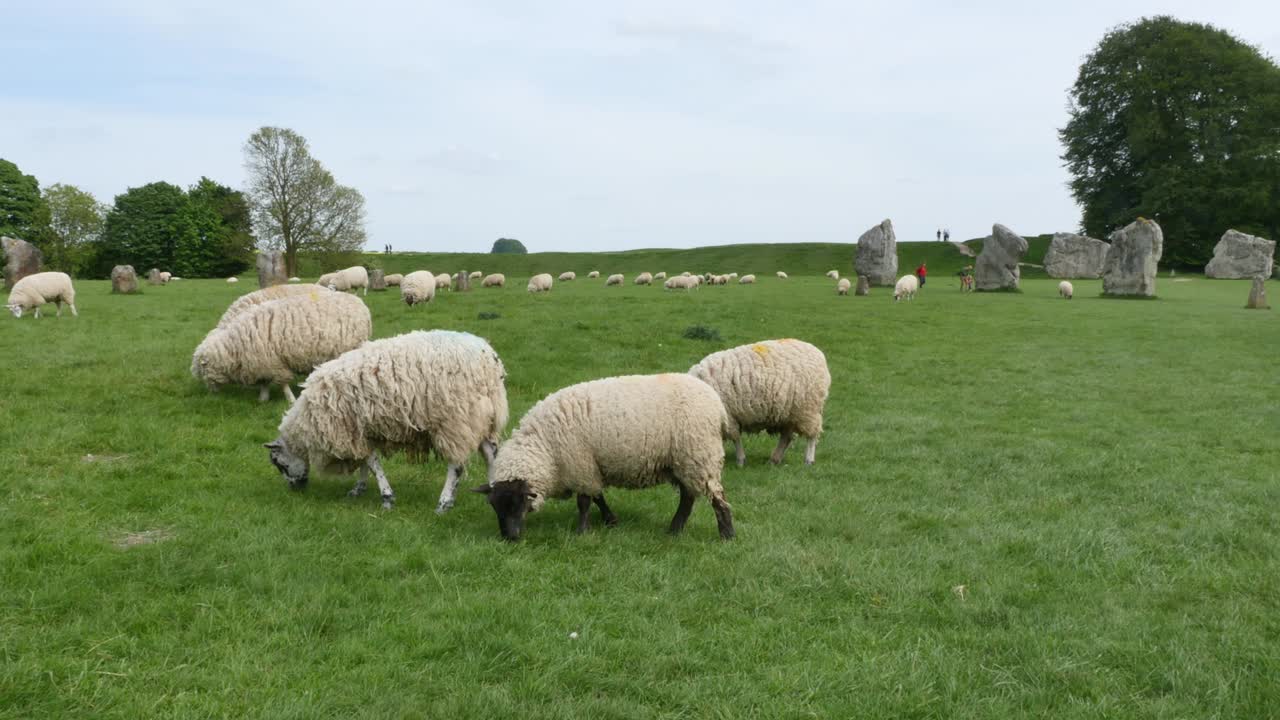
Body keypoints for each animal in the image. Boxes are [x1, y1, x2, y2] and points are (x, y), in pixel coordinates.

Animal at [192, 290, 370, 403]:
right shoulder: (262, 363)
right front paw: (263, 399)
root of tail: (358, 301)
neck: (234, 346)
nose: (211, 394)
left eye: (203, 371)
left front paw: (290, 400)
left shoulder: (275, 363)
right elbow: (264, 383)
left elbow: (283, 383)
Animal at [266, 330, 508, 513]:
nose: (296, 489)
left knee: (456, 465)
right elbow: (365, 462)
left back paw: (444, 502)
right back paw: (493, 490)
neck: (308, 420)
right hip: (481, 417)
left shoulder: (350, 431)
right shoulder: (361, 432)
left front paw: (386, 497)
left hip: (456, 420)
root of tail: (490, 360)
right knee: (491, 454)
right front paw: (359, 488)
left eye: (279, 464)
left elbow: (372, 463)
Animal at [476, 373, 734, 541]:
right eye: (494, 506)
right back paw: (675, 530)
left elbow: (584, 502)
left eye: (516, 503)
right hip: (683, 461)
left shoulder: (580, 465)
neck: (545, 447)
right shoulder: (590, 466)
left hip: (699, 454)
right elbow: (598, 496)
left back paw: (726, 534)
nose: (509, 538)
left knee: (716, 497)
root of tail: (718, 405)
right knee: (688, 497)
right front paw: (611, 520)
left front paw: (582, 532)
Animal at [689, 339, 831, 467]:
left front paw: (740, 460)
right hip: (789, 412)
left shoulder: (729, 416)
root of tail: (817, 352)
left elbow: (735, 438)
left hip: (808, 408)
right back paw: (775, 459)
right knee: (786, 436)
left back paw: (808, 460)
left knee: (812, 435)